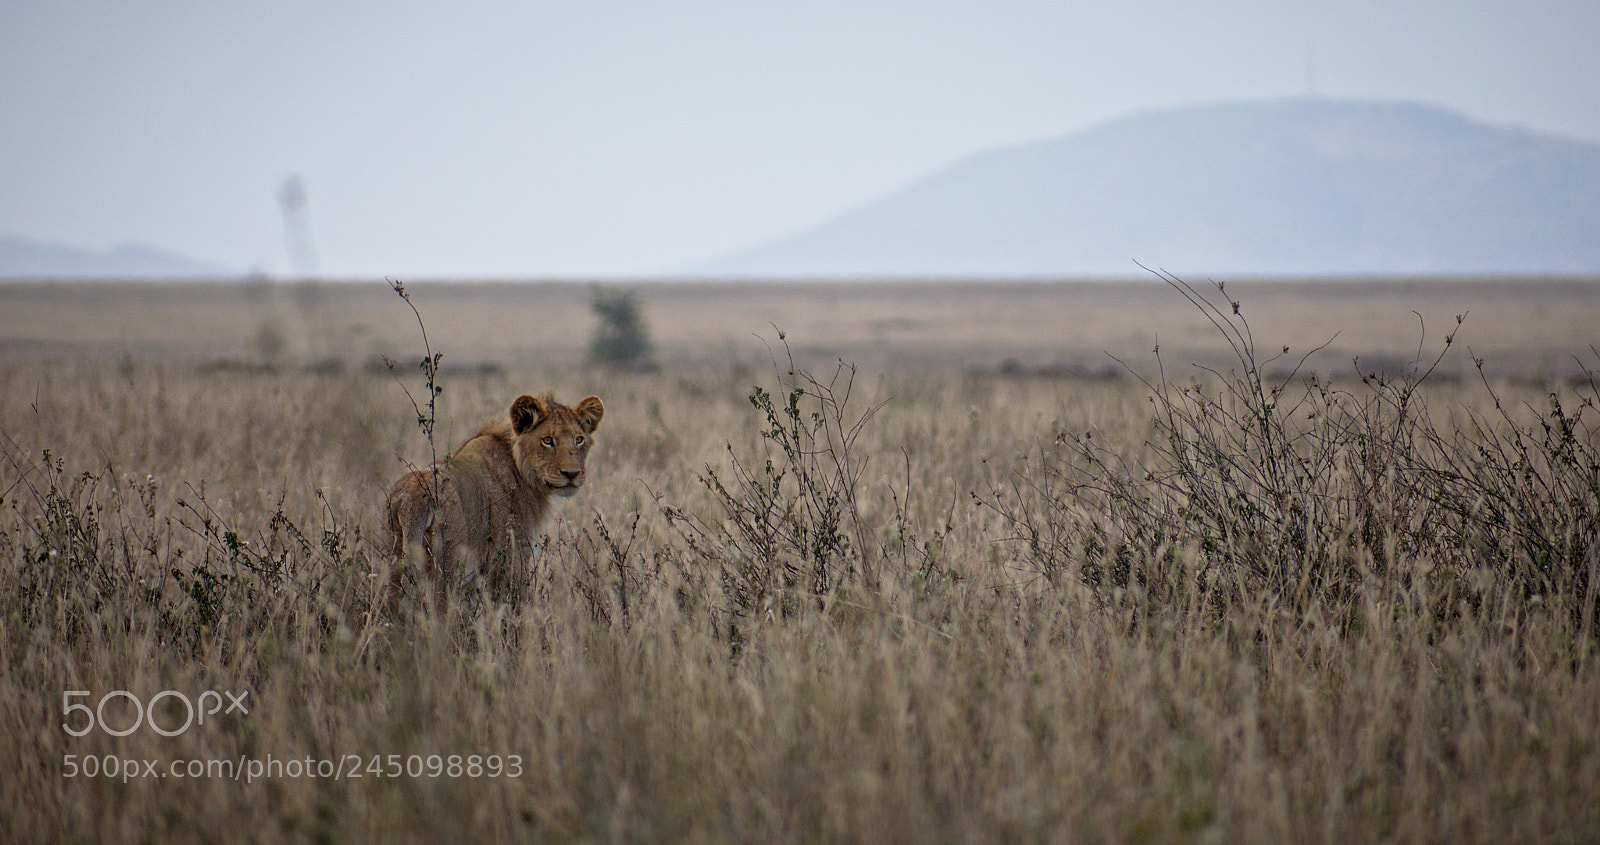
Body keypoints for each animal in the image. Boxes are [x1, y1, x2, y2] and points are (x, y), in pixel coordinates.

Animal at [384, 392, 604, 602]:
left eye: (579, 439)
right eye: (547, 440)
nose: (572, 474)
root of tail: (414, 497)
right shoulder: (511, 557)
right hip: (448, 569)